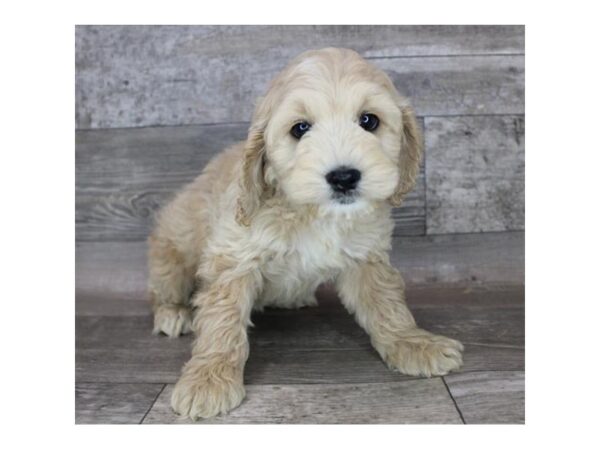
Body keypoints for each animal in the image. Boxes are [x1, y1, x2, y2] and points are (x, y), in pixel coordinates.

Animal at [146, 47, 464, 420]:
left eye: (369, 121)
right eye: (300, 128)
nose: (344, 177)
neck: (314, 213)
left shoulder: (366, 256)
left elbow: (386, 304)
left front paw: (412, 342)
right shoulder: (234, 257)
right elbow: (222, 320)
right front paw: (209, 377)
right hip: (172, 250)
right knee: (165, 288)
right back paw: (173, 313)